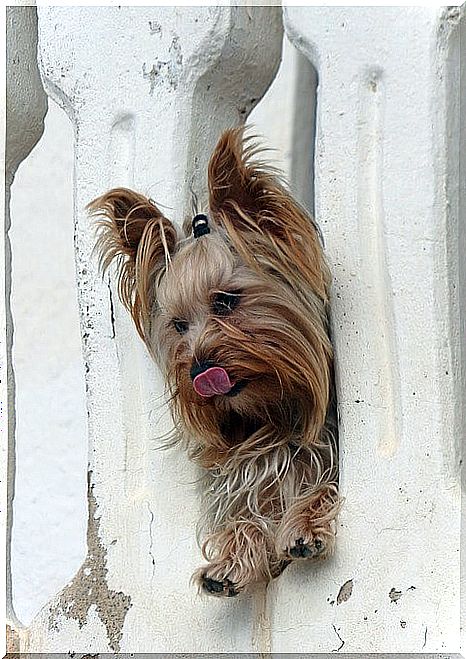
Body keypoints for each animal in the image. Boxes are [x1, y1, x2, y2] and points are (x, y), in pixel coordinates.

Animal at [88, 127, 338, 600]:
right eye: (179, 325)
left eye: (225, 300)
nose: (199, 371)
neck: (269, 414)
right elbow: (245, 513)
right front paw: (232, 559)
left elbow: (321, 485)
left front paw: (304, 523)